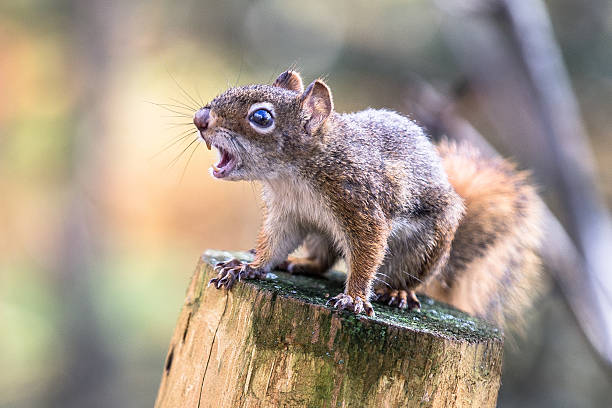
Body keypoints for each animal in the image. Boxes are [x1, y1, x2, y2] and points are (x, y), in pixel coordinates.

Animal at [194, 70, 544, 332]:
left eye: (262, 117)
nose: (200, 118)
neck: (293, 175)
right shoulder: (288, 214)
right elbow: (274, 242)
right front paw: (248, 267)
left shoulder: (361, 203)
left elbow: (367, 252)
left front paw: (355, 298)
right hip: (321, 234)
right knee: (323, 260)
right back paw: (299, 262)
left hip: (424, 247)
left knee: (406, 275)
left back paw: (399, 291)